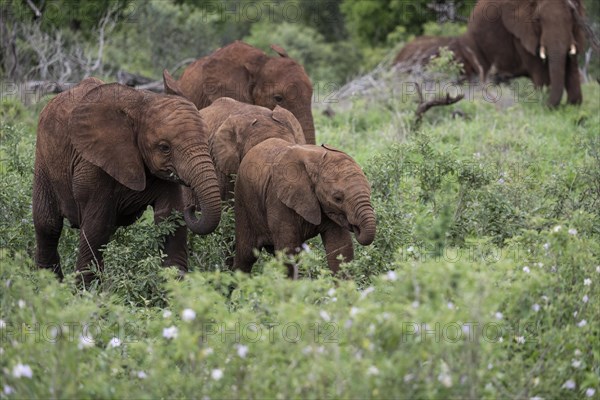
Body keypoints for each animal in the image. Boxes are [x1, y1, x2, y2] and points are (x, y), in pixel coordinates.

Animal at [32, 77, 221, 284]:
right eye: (164, 148)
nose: (192, 207)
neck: (143, 103)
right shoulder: (94, 163)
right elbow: (96, 228)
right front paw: (85, 291)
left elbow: (169, 221)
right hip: (44, 159)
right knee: (48, 225)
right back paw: (48, 284)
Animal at [233, 137, 376, 276]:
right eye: (338, 198)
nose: (355, 227)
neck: (316, 161)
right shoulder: (278, 199)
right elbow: (288, 253)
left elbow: (340, 248)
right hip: (243, 201)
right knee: (246, 255)